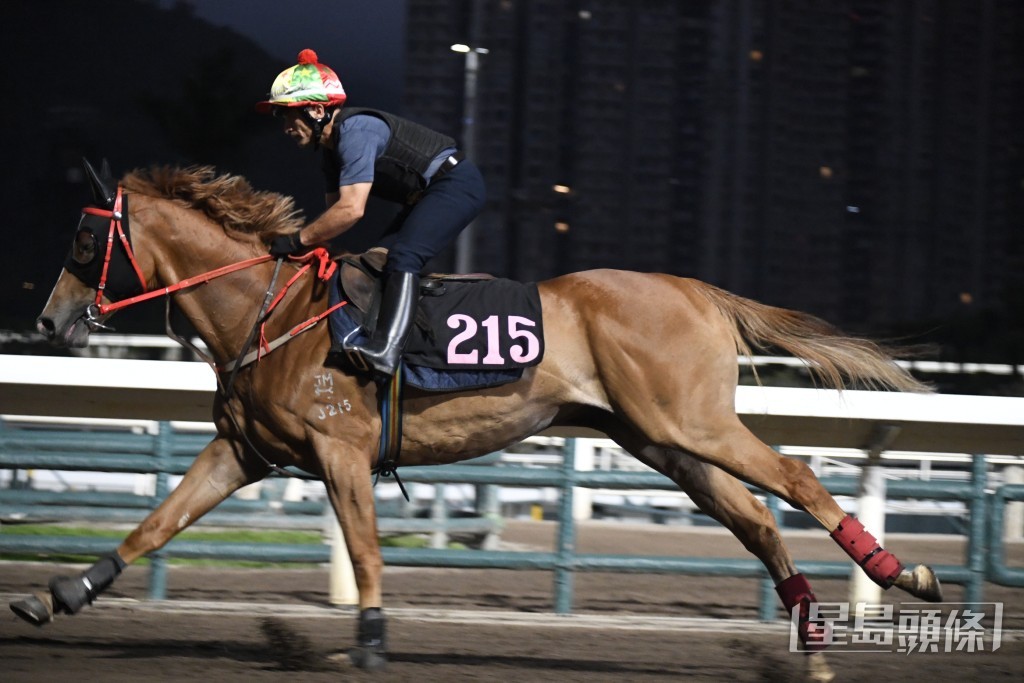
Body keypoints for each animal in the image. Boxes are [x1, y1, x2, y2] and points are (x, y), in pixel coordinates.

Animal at [16, 162, 942, 675]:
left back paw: (903, 574)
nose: (49, 323)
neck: (267, 310)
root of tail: (698, 290)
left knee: (793, 476)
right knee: (753, 517)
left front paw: (372, 640)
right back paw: (810, 635)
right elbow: (155, 521)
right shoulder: (244, 449)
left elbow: (365, 547)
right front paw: (58, 593)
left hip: (691, 422)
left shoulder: (339, 448)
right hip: (657, 437)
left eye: (84, 241)